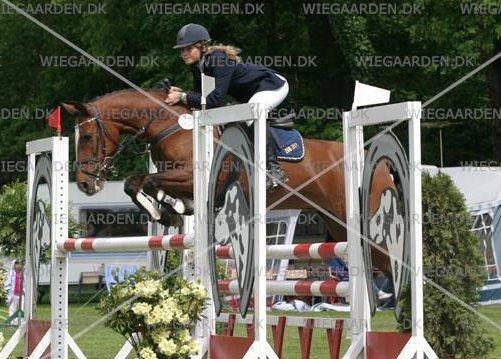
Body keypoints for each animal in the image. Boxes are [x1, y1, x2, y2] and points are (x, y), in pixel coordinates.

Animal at [63, 89, 394, 272]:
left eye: (88, 136)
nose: (85, 185)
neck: (171, 125)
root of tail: (375, 163)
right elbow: (136, 183)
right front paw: (170, 209)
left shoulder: (190, 176)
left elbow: (148, 183)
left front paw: (168, 210)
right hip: (337, 224)